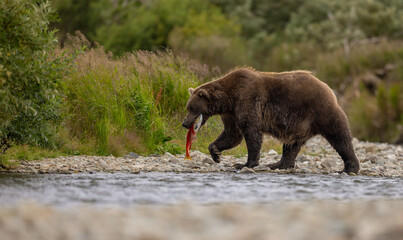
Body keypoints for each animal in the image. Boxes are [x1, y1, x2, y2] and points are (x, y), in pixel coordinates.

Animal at [182, 66, 360, 173]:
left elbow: (251, 133)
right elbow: (232, 135)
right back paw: (277, 165)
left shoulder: (247, 101)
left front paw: (245, 163)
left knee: (339, 136)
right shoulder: (231, 114)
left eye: (192, 108)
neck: (228, 99)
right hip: (299, 124)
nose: (184, 123)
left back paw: (349, 167)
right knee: (292, 145)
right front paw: (216, 154)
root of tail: (328, 88)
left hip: (320, 111)